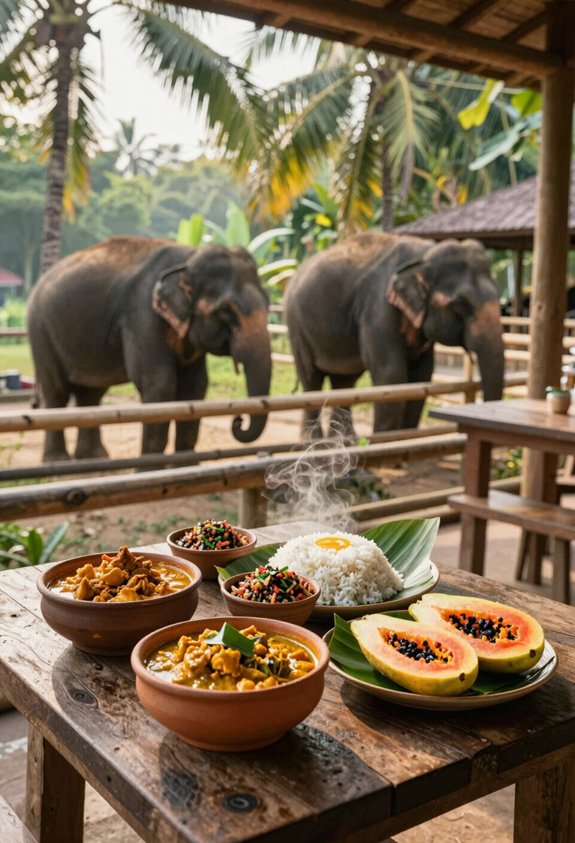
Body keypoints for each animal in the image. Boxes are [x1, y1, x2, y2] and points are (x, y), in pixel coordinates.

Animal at [27, 236, 272, 461]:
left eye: (268, 305)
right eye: (226, 310)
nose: (238, 420)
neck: (188, 258)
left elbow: (196, 387)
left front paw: (186, 470)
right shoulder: (142, 315)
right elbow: (159, 384)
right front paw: (149, 470)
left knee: (91, 393)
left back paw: (94, 458)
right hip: (40, 331)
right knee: (57, 391)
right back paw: (57, 461)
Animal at [284, 232, 504, 438]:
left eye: (499, 296)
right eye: (460, 305)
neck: (424, 255)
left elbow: (421, 376)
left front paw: (404, 440)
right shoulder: (378, 309)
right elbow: (391, 374)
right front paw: (385, 441)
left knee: (344, 382)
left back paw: (341, 442)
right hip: (297, 327)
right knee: (311, 379)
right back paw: (316, 442)